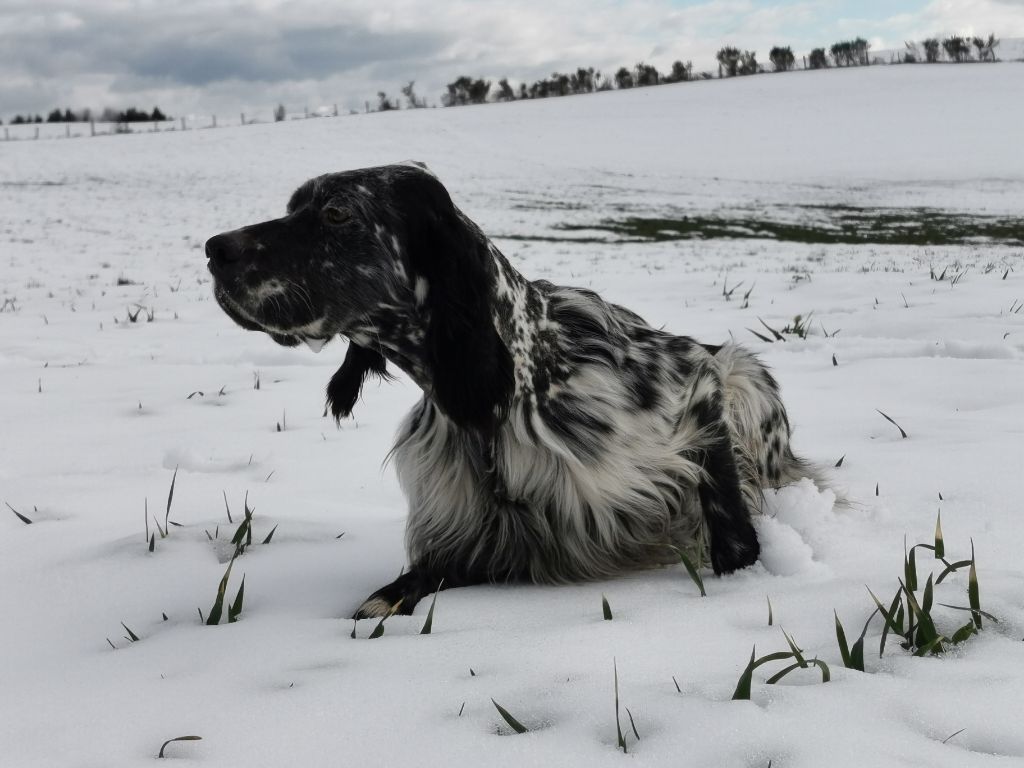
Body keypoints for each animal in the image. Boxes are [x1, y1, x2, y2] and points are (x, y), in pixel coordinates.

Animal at [205, 160, 815, 618]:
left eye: (337, 213)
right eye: (293, 209)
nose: (214, 249)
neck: (501, 397)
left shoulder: (697, 378)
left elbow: (724, 504)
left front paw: (743, 572)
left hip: (745, 372)